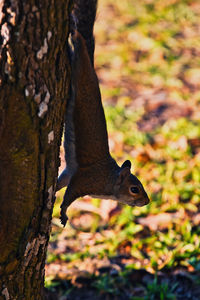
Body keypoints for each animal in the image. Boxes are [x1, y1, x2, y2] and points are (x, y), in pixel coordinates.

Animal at [56, 31, 150, 227]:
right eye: (134, 189)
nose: (147, 201)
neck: (109, 179)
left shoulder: (70, 173)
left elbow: (61, 182)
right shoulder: (84, 180)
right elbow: (68, 196)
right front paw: (63, 212)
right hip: (79, 70)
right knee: (76, 47)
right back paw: (74, 36)